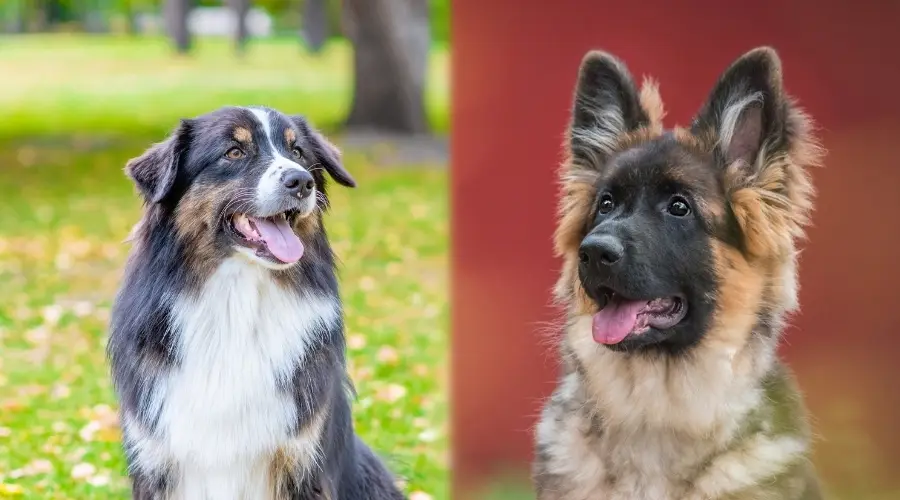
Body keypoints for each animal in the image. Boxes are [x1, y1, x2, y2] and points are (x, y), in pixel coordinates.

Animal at [108, 106, 408, 500]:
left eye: (298, 153)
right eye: (234, 152)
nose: (301, 182)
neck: (237, 303)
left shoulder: (302, 463)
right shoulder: (158, 459)